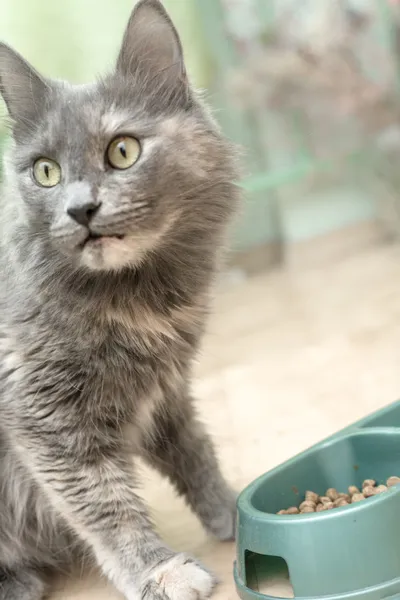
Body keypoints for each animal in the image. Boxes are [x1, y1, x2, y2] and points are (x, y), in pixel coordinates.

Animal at [0, 1, 239, 600]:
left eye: (122, 150)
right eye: (46, 171)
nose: (80, 209)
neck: (136, 296)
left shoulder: (166, 390)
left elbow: (194, 452)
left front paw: (232, 511)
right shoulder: (46, 419)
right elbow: (107, 506)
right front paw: (161, 572)